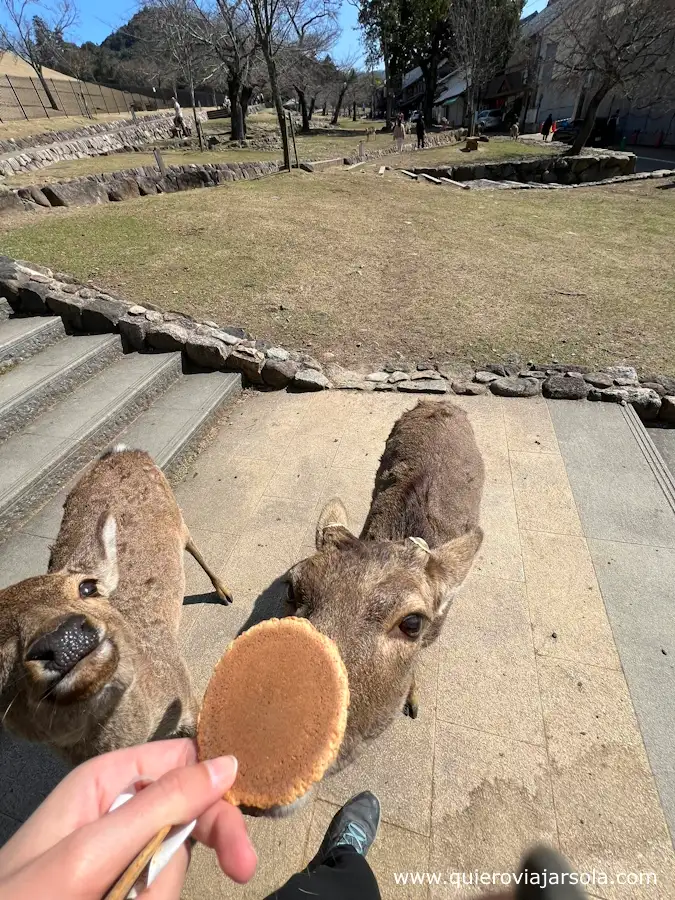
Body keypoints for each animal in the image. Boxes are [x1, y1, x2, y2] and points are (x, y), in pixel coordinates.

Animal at [0, 446, 232, 764]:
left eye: (88, 587)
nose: (62, 636)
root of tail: (121, 450)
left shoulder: (187, 694)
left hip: (177, 515)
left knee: (192, 542)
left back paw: (224, 591)